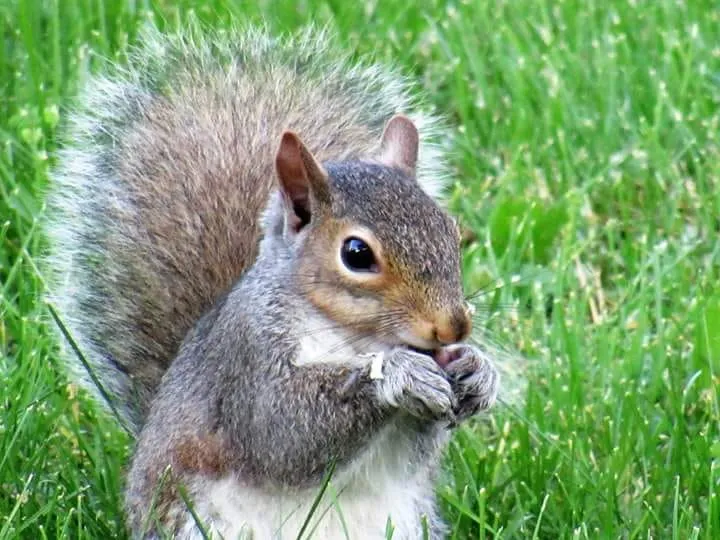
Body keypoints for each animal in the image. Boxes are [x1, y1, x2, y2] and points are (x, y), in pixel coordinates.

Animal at [45, 23, 499, 539]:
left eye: (451, 230)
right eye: (357, 254)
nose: (454, 328)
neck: (356, 337)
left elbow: (417, 450)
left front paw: (478, 371)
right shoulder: (248, 356)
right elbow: (282, 432)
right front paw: (398, 375)